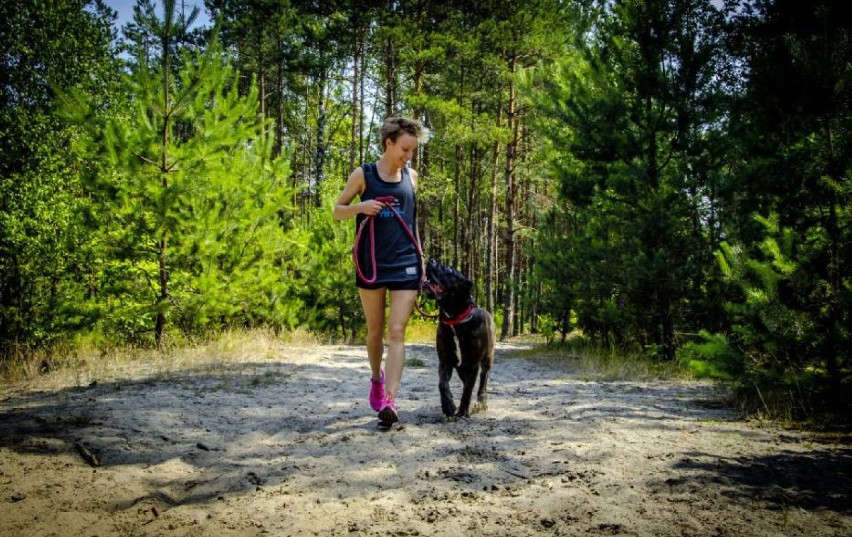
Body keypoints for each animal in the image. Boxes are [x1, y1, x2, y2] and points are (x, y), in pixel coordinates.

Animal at [424, 260, 496, 418]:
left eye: (450, 270)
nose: (431, 261)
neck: (454, 319)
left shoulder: (473, 364)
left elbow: (468, 390)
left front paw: (463, 410)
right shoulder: (445, 360)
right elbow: (442, 384)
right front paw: (448, 406)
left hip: (487, 358)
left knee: (483, 379)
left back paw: (481, 402)